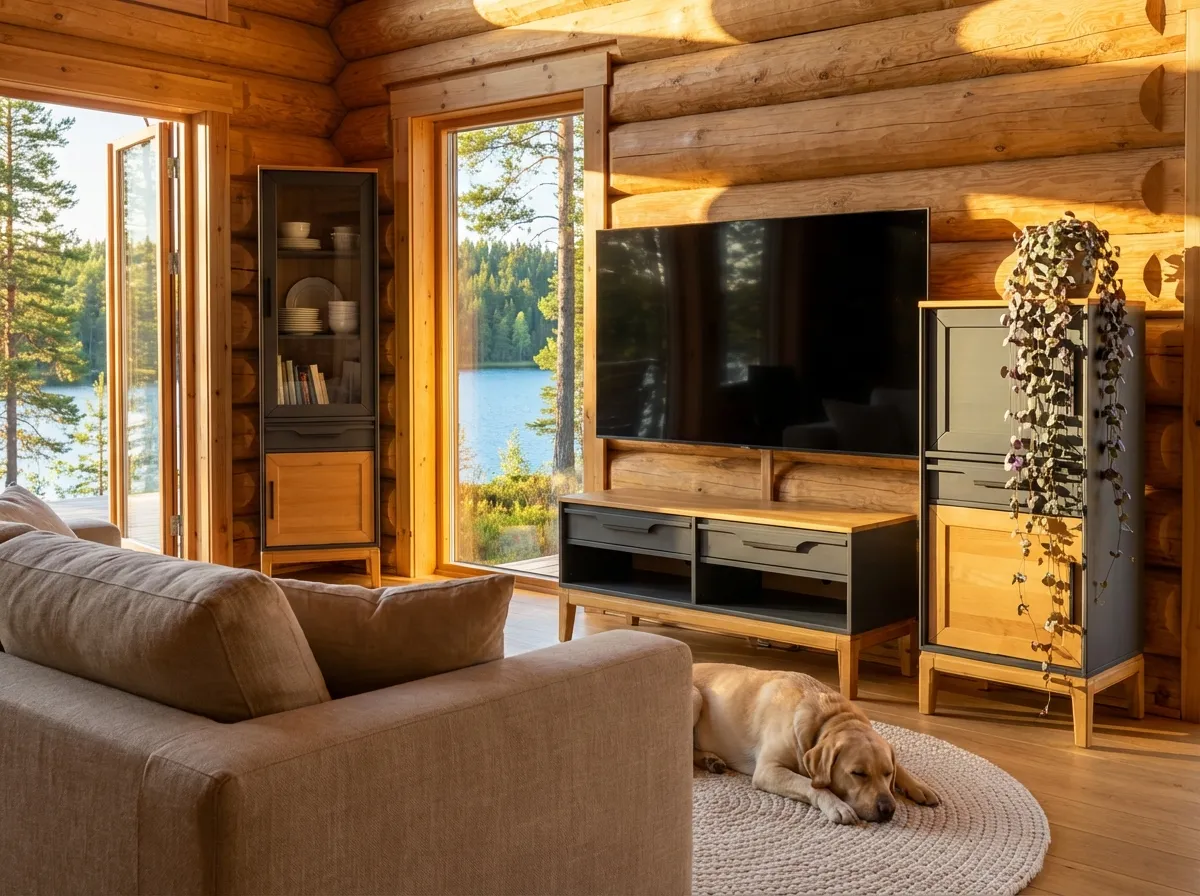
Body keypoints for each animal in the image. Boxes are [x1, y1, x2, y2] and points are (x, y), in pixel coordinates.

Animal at [692, 663, 940, 824]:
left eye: (887, 773)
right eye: (858, 773)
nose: (888, 809)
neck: (830, 718)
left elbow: (901, 767)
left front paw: (919, 786)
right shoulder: (768, 770)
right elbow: (811, 785)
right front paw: (837, 805)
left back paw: (711, 760)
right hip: (696, 697)